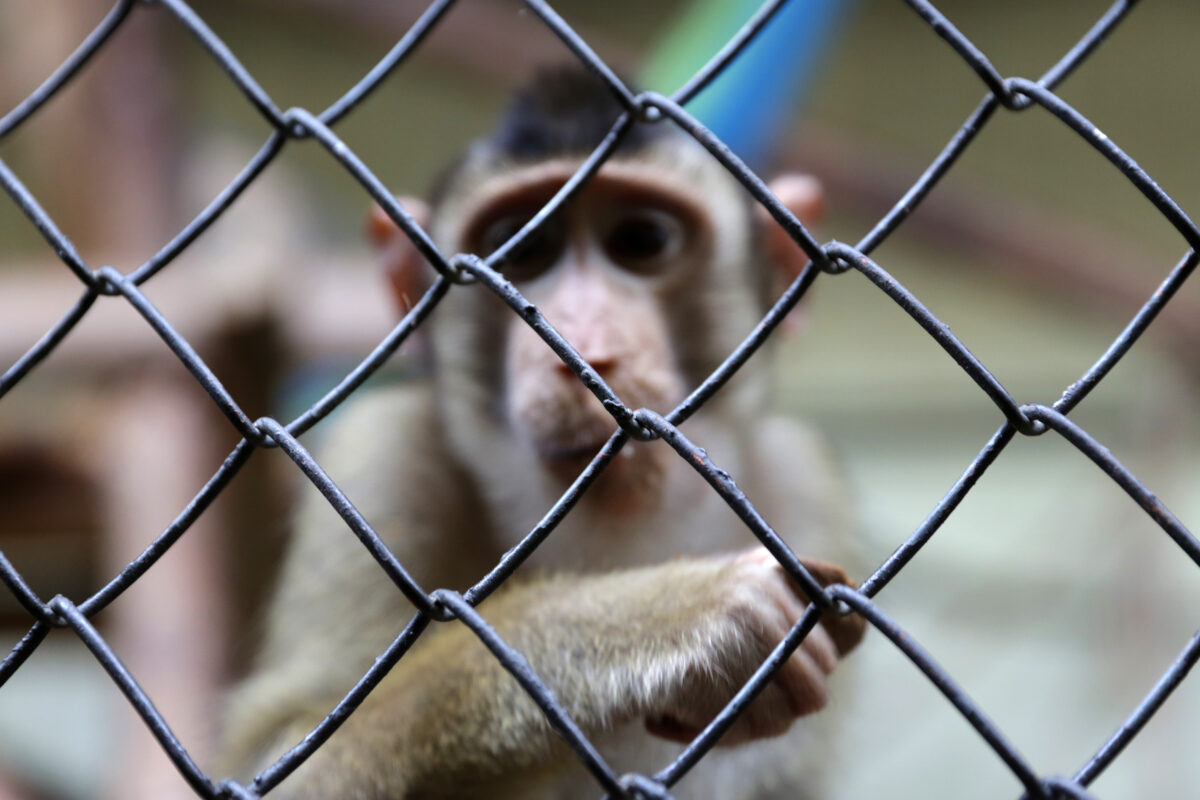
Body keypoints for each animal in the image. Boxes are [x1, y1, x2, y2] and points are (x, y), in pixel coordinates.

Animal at [220, 68, 864, 800]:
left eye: (642, 241)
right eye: (524, 249)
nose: (583, 348)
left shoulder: (803, 484)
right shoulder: (383, 456)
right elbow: (281, 755)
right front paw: (652, 620)